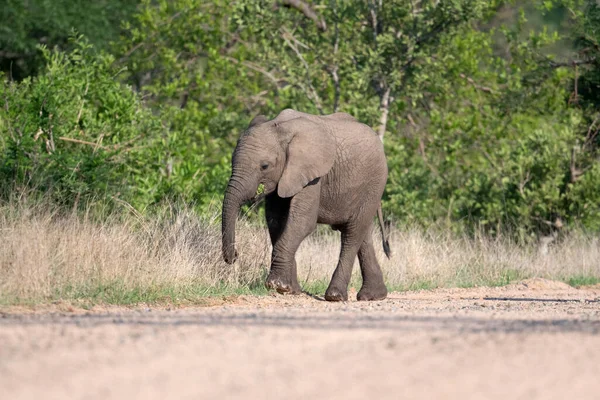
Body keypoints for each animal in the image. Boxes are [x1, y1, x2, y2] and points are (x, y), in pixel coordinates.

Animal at [223, 108, 392, 302]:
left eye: (264, 166)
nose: (235, 256)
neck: (281, 128)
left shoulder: (312, 175)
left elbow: (302, 222)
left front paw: (276, 285)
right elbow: (276, 222)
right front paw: (291, 290)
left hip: (374, 182)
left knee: (352, 233)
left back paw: (335, 296)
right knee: (363, 234)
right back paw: (373, 296)